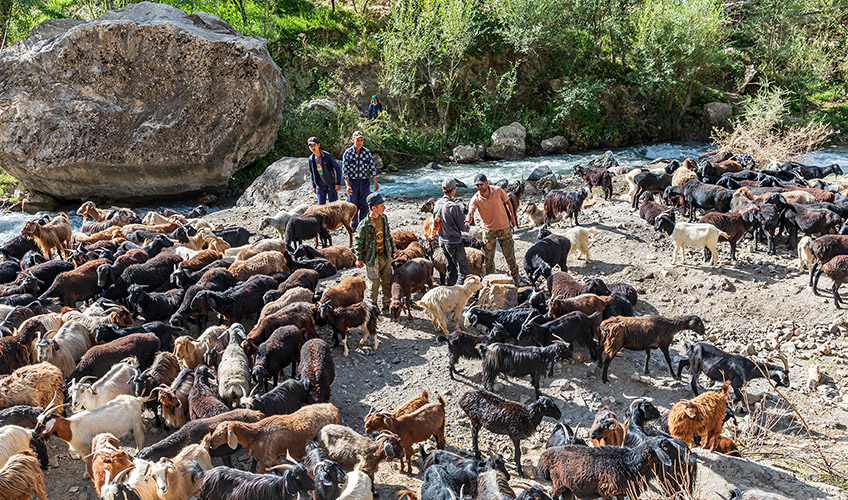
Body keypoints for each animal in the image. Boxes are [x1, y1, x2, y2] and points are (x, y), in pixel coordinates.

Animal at [208, 400, 338, 470]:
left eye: (220, 433)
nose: (210, 444)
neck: (254, 436)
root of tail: (334, 409)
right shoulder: (272, 459)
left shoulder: (269, 460)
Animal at [536, 436, 676, 498]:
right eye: (666, 447)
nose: (679, 455)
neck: (628, 464)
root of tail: (545, 457)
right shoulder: (607, 491)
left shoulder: (623, 492)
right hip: (558, 483)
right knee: (552, 494)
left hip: (568, 487)